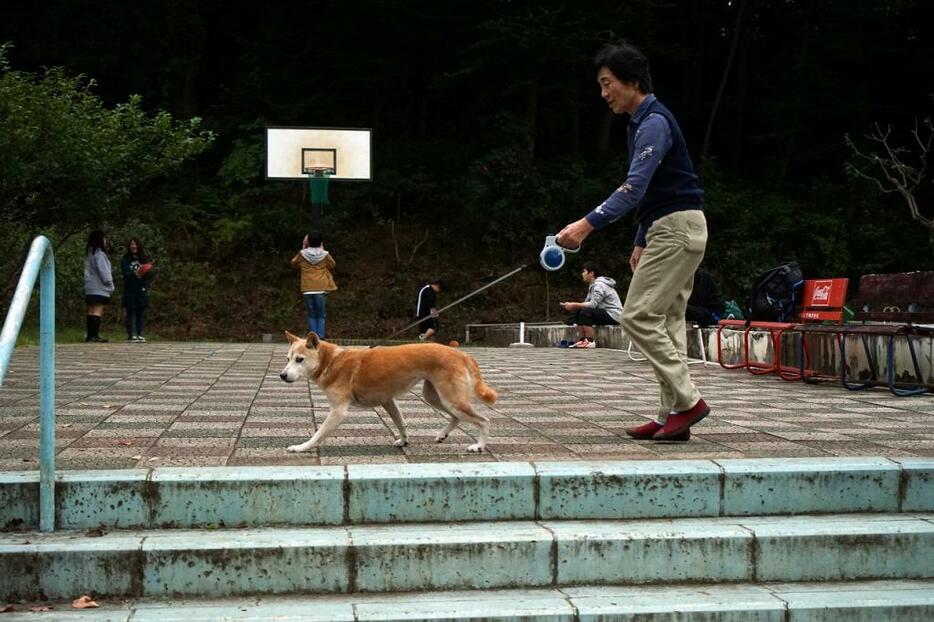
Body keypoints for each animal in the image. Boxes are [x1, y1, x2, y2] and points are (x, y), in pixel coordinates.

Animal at [278, 336, 498, 454]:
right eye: (287, 359)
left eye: (299, 359)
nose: (282, 375)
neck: (330, 361)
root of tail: (461, 353)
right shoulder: (388, 401)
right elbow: (400, 423)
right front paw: (404, 441)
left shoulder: (338, 411)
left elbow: (318, 434)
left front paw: (302, 447)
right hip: (435, 396)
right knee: (456, 417)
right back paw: (442, 434)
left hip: (450, 398)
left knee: (484, 420)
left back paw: (479, 445)